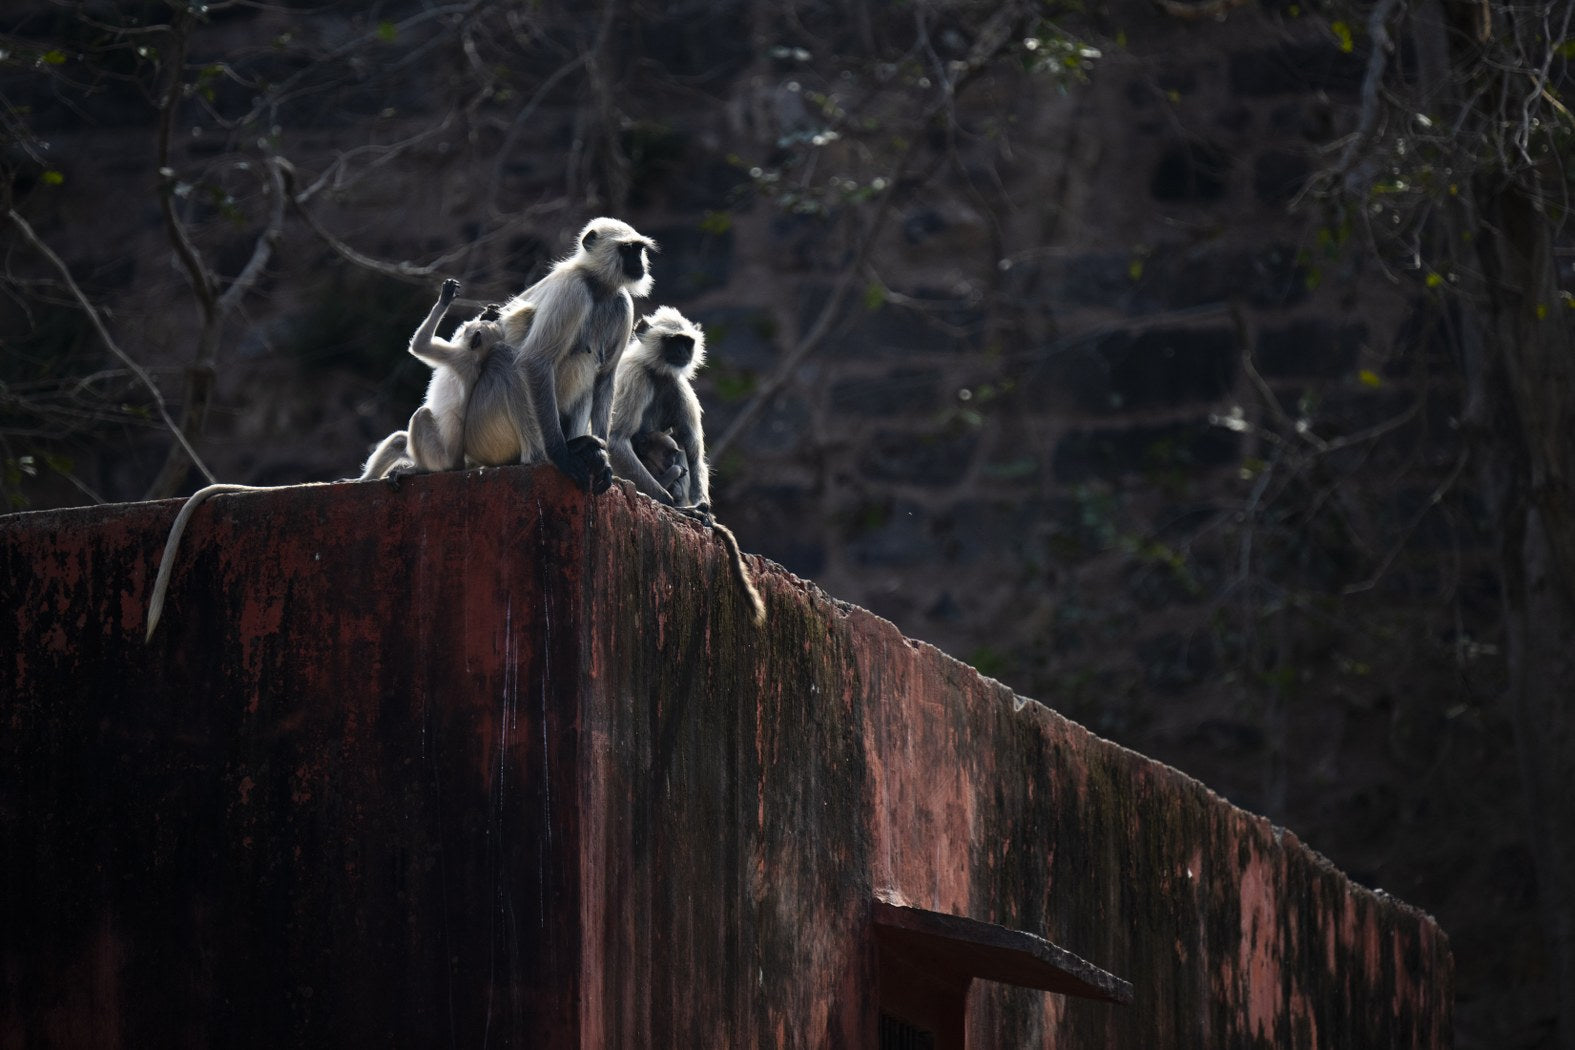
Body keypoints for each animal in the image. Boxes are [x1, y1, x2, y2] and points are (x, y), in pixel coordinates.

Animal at [359, 279, 512, 481]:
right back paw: (365, 478)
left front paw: (444, 301)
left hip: (439, 459)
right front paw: (489, 313)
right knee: (399, 440)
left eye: (466, 329)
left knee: (421, 415)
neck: (477, 359)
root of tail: (458, 464)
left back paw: (419, 469)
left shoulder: (457, 357)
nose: (465, 326)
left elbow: (421, 346)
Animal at [460, 217, 656, 493]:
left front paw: (605, 460)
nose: (639, 263)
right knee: (507, 358)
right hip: (483, 431)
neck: (597, 286)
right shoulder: (573, 290)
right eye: (627, 249)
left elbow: (605, 377)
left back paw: (585, 447)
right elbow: (535, 361)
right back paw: (543, 455)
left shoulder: (622, 303)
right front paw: (560, 455)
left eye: (639, 250)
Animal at [610, 306, 765, 625]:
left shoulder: (676, 385)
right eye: (672, 341)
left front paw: (703, 509)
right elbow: (617, 439)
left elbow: (693, 452)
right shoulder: (635, 376)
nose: (682, 352)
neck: (655, 371)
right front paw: (674, 506)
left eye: (686, 342)